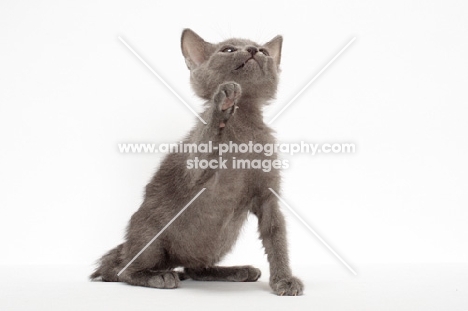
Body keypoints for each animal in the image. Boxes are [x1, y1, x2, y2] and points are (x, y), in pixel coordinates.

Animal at [90, 28, 304, 298]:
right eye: (229, 50)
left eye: (264, 51)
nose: (254, 50)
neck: (244, 126)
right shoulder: (197, 171)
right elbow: (207, 144)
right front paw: (221, 105)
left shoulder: (268, 197)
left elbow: (277, 237)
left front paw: (283, 280)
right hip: (149, 232)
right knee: (125, 270)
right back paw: (157, 276)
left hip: (220, 241)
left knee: (195, 268)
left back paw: (236, 271)